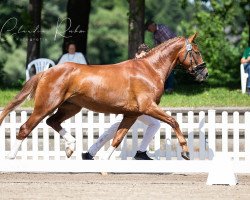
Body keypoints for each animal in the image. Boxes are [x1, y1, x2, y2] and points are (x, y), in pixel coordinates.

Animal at [0, 33, 207, 160]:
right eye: (196, 51)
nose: (204, 74)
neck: (149, 69)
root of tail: (47, 72)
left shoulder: (132, 114)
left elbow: (117, 138)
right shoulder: (148, 107)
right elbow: (174, 121)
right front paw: (186, 152)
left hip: (71, 106)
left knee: (52, 121)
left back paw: (71, 147)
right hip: (46, 105)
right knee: (25, 128)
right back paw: (11, 157)